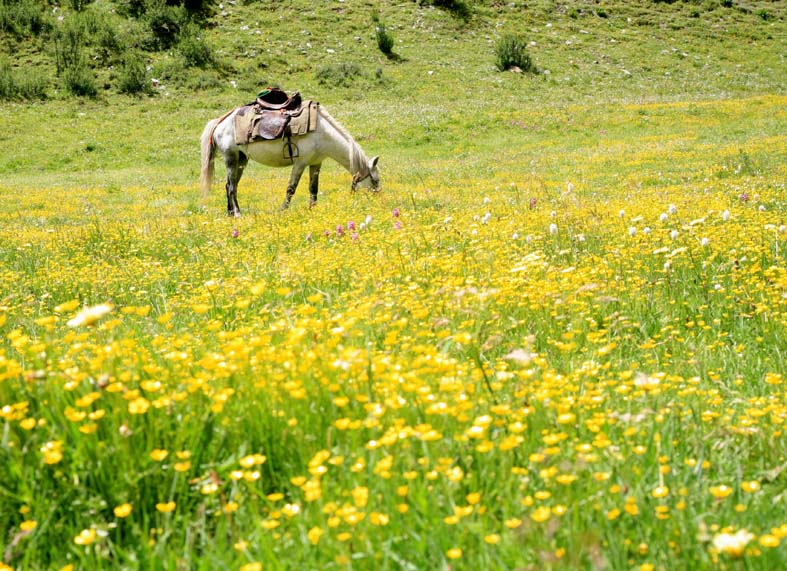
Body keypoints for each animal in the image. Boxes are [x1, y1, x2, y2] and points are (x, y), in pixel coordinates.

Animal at [199, 101, 380, 216]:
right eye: (375, 180)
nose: (377, 201)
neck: (321, 132)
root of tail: (220, 121)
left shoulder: (316, 163)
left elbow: (313, 189)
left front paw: (313, 209)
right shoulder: (300, 163)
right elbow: (291, 188)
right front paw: (282, 210)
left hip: (242, 160)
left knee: (231, 185)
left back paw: (230, 213)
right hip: (231, 157)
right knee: (230, 186)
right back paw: (236, 214)